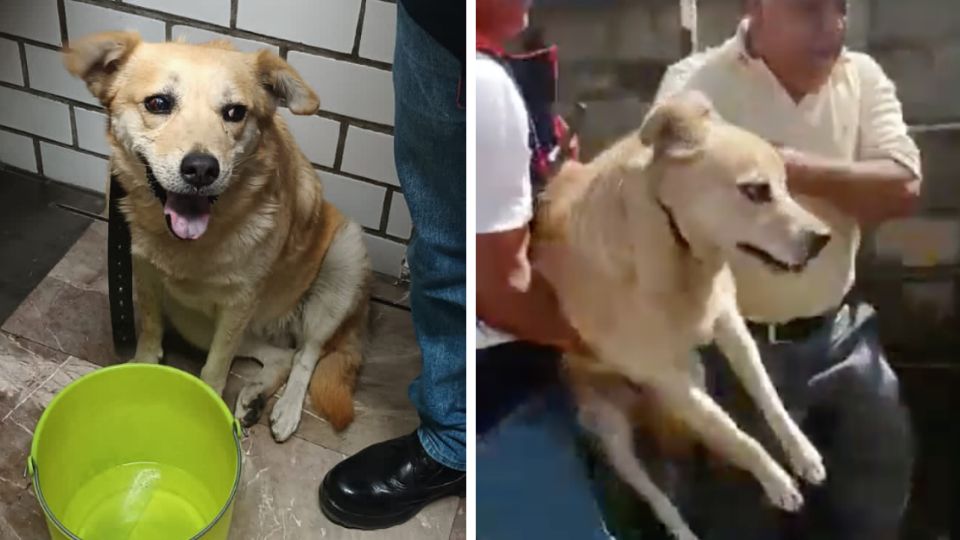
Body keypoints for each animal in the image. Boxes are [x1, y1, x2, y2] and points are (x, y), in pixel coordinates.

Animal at [540, 90, 832, 536]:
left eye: (785, 184)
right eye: (756, 190)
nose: (823, 239)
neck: (677, 249)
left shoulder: (729, 324)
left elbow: (766, 394)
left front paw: (801, 452)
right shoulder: (665, 375)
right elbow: (734, 432)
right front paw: (776, 479)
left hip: (690, 380)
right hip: (614, 431)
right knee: (658, 493)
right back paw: (683, 526)